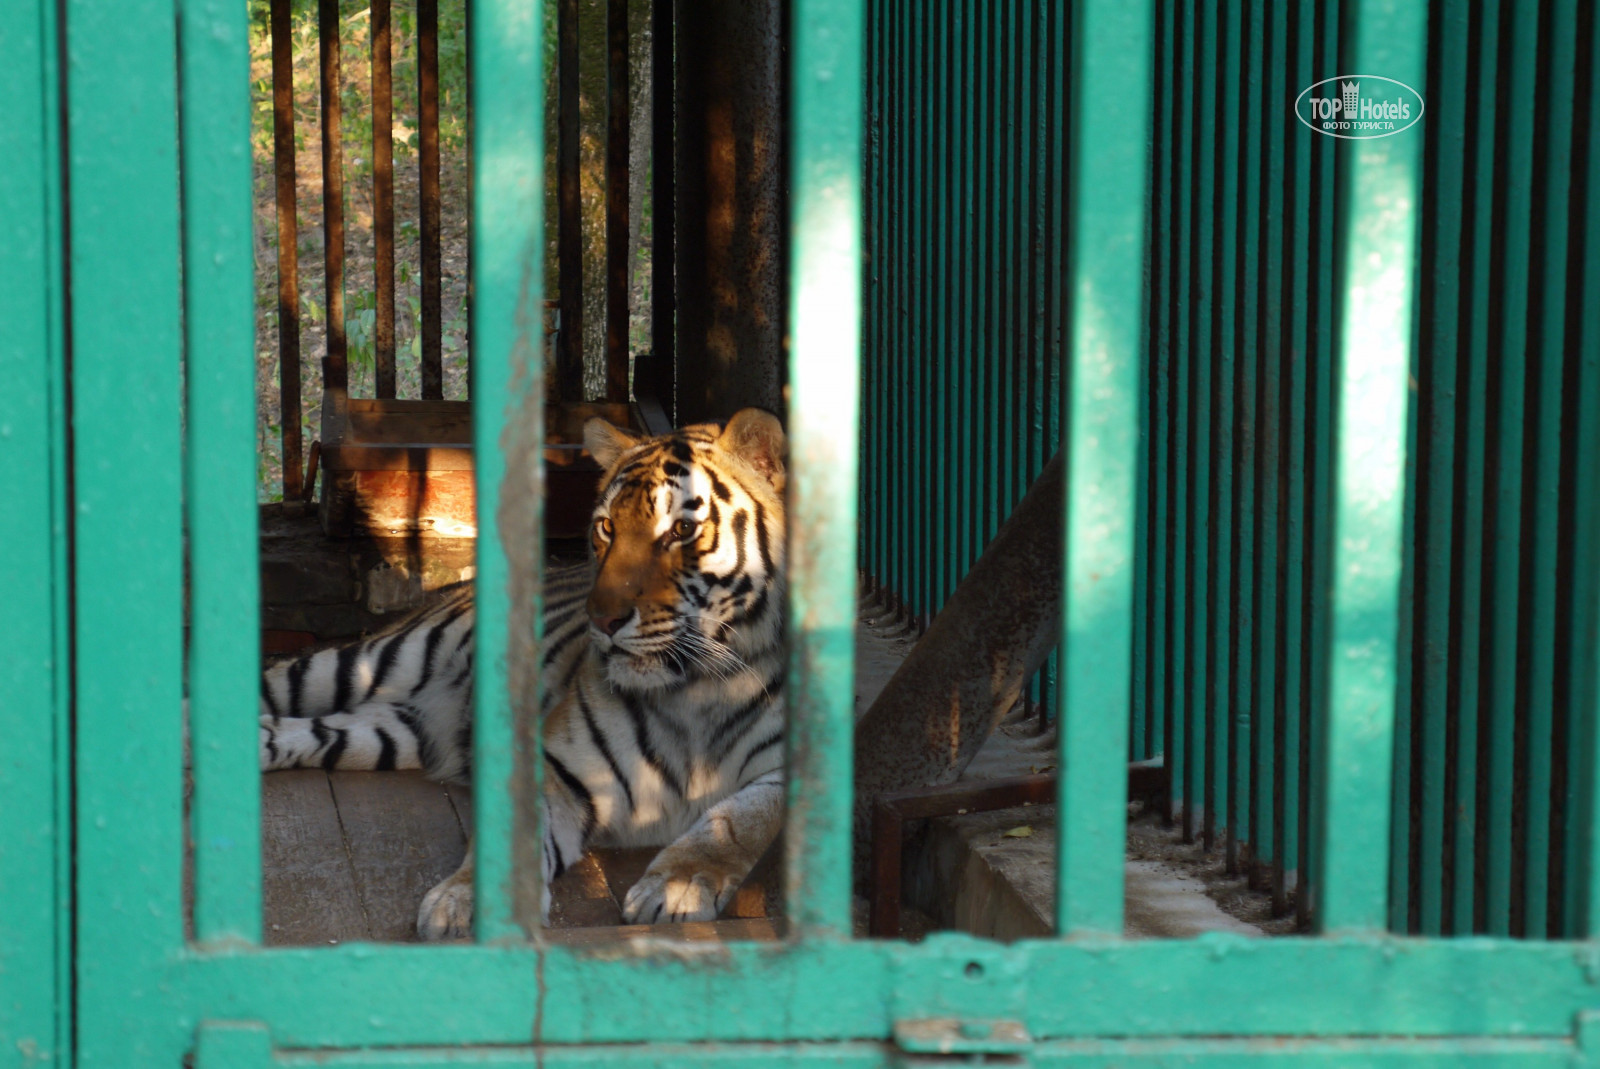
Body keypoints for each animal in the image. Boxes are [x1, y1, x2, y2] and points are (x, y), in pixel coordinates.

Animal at [259, 409, 790, 934]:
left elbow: (738, 821)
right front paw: (474, 904)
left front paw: (678, 886)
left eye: (681, 531)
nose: (602, 620)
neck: (699, 690)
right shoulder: (557, 765)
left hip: (396, 729)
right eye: (606, 527)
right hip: (369, 662)